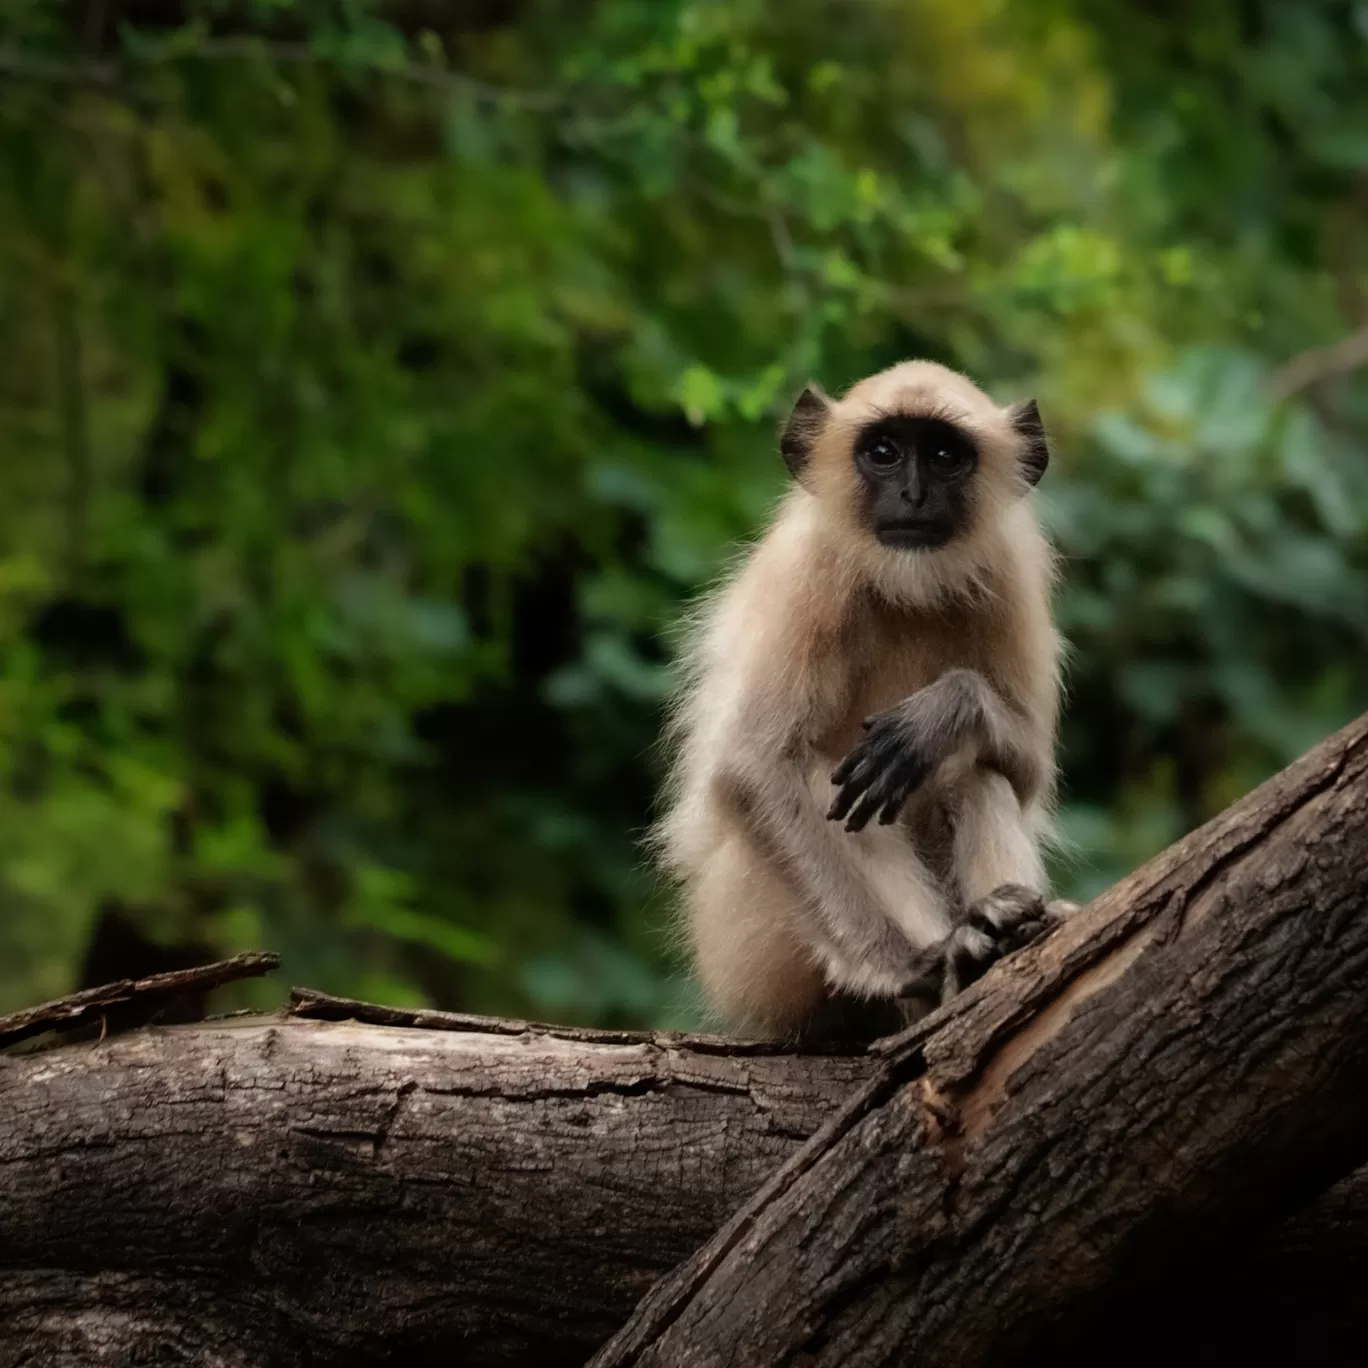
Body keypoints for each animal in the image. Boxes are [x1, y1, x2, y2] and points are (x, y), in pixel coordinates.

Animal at [651, 358, 1077, 1039]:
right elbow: (753, 766)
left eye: (943, 455)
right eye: (883, 453)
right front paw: (908, 964)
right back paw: (954, 961)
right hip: (743, 942)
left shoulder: (1009, 574)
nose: (913, 495)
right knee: (826, 778)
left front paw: (941, 713)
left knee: (972, 773)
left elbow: (1027, 770)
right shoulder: (813, 572)